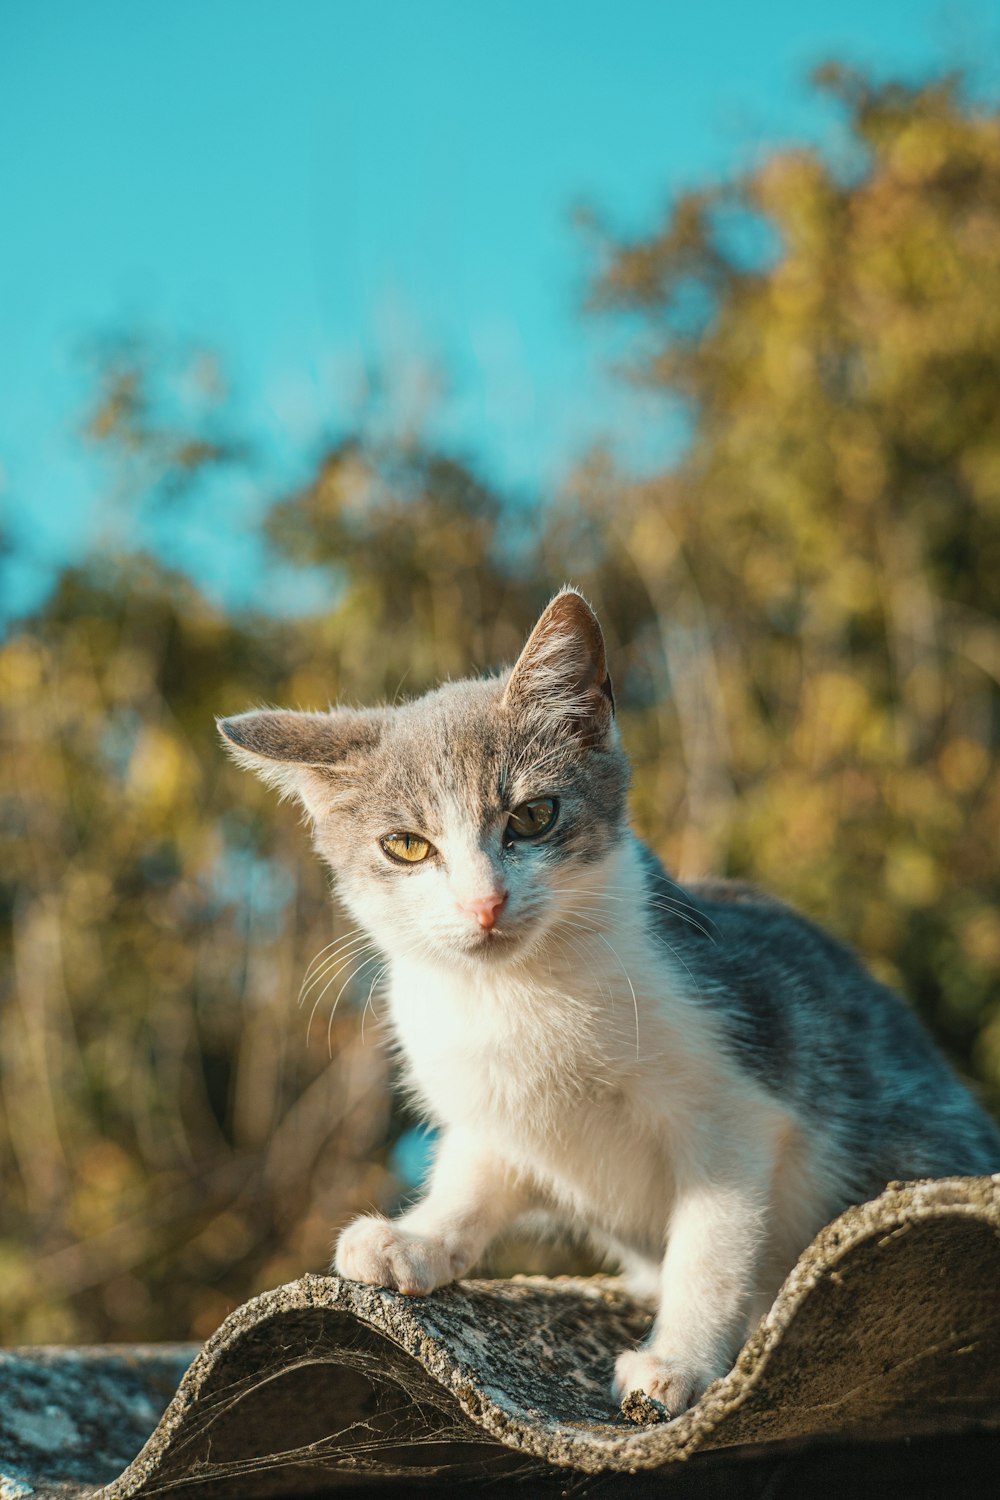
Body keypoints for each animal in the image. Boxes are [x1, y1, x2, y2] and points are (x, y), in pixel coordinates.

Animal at [218, 588, 1000, 1416]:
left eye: (532, 816)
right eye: (406, 846)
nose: (484, 904)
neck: (518, 991)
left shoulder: (735, 1099)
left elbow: (710, 1243)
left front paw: (678, 1361)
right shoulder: (494, 1101)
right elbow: (478, 1169)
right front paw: (420, 1237)